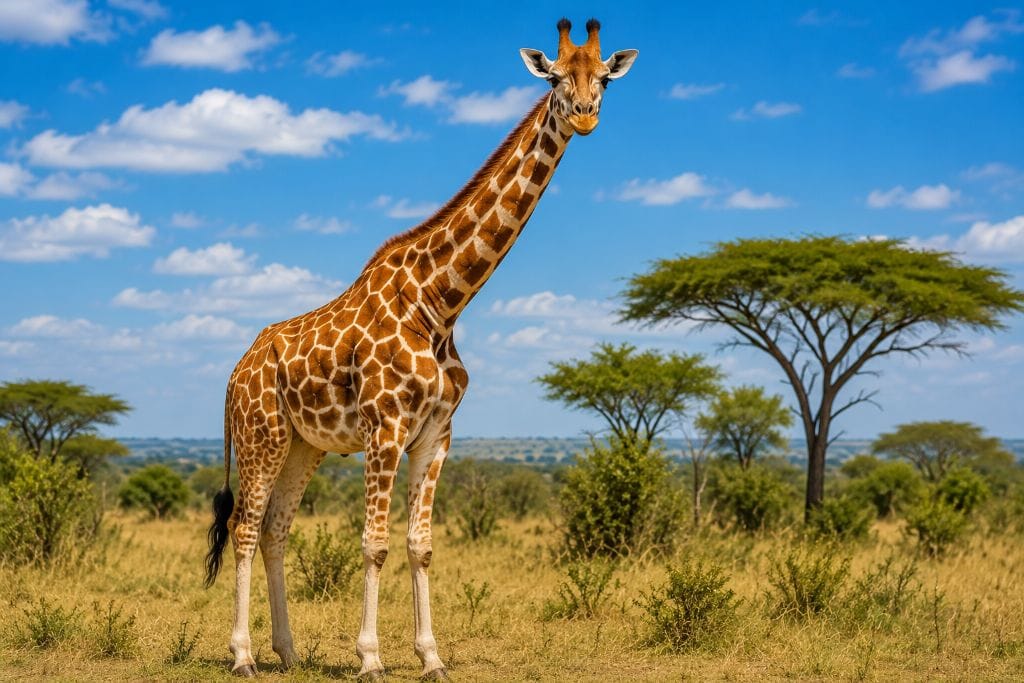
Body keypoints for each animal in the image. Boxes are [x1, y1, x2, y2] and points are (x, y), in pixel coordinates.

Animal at [203, 18, 636, 679]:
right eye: (557, 78)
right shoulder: (385, 428)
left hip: (304, 445)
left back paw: (288, 651)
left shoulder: (437, 433)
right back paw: (244, 656)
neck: (440, 303)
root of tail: (234, 372)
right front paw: (370, 658)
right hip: (262, 434)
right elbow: (375, 544)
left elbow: (421, 546)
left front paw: (430, 656)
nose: (585, 116)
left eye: (604, 79)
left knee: (276, 528)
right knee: (246, 528)